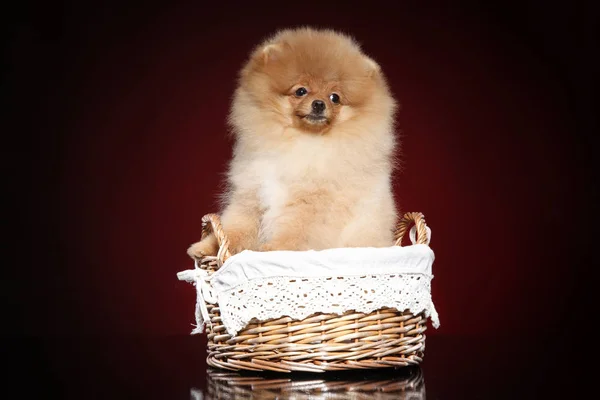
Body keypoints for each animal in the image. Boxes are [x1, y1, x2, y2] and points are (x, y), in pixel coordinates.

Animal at [188, 26, 398, 258]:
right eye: (301, 91)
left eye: (334, 97)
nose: (319, 104)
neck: (298, 144)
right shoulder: (250, 195)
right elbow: (234, 228)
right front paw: (207, 247)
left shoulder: (310, 203)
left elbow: (294, 231)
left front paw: (274, 249)